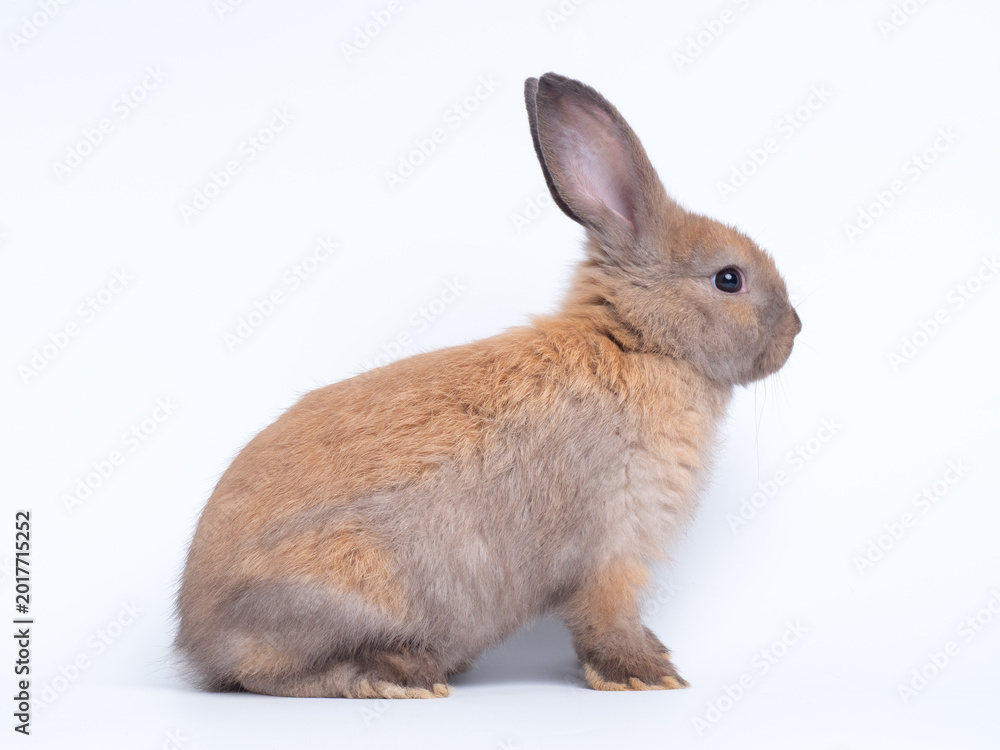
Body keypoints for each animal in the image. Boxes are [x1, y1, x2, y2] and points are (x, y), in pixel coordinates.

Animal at [175, 72, 801, 699]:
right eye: (728, 279)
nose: (796, 330)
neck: (640, 342)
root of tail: (198, 637)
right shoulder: (610, 548)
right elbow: (607, 618)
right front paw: (647, 675)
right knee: (274, 674)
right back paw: (399, 676)